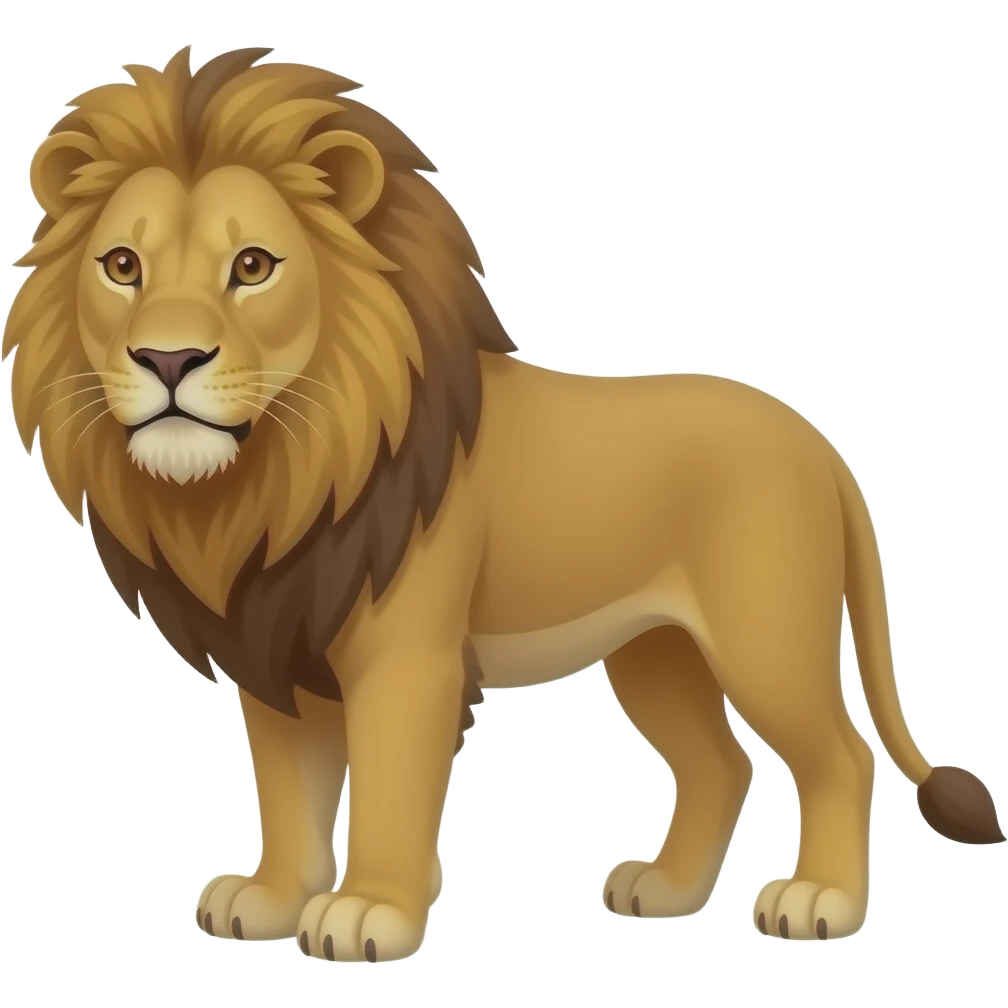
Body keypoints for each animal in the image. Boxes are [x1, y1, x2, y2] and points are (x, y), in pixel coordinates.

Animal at [4, 46, 1003, 961]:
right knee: (721, 766)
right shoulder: (278, 645)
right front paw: (272, 897)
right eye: (121, 265)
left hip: (765, 638)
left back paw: (819, 902)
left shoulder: (406, 659)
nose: (168, 360)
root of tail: (821, 446)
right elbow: (289, 791)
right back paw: (666, 890)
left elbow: (389, 788)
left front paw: (368, 913)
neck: (276, 477)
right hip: (657, 652)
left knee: (841, 756)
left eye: (252, 265)